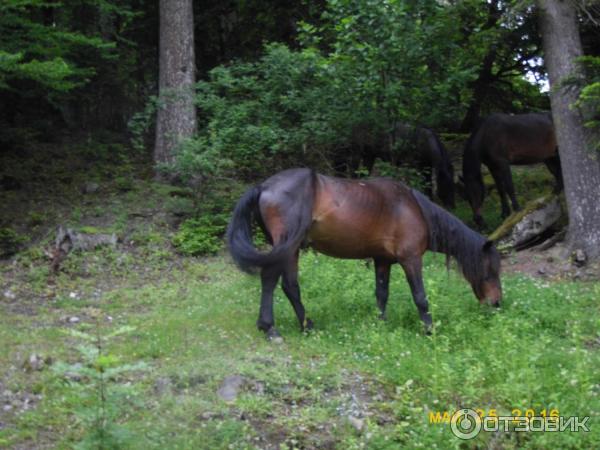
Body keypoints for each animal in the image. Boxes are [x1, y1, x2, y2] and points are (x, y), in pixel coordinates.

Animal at [225, 168, 502, 338]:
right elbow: (421, 298)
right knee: (270, 280)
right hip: (285, 248)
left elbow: (381, 294)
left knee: (290, 286)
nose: (497, 303)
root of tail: (263, 186)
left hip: (291, 250)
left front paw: (381, 324)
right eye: (491, 270)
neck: (414, 209)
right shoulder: (411, 259)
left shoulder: (383, 261)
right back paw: (270, 329)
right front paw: (430, 330)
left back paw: (307, 326)